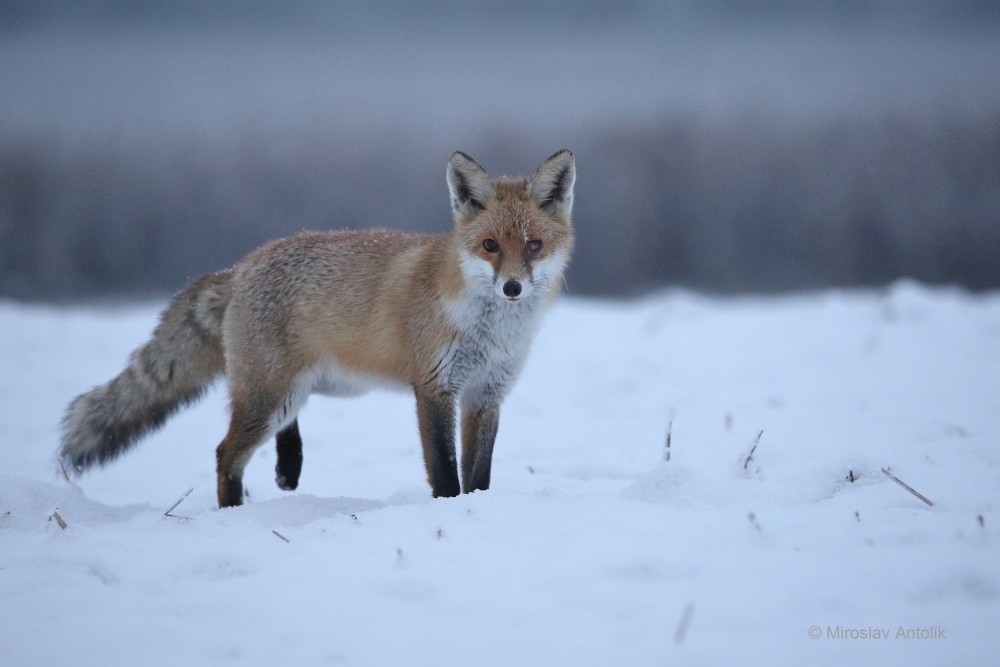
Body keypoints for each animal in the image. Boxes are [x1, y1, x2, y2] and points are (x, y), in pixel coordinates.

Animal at [60, 150, 580, 506]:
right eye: (490, 245)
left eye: (533, 245)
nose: (512, 287)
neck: (491, 333)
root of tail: (240, 266)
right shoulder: (435, 388)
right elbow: (446, 473)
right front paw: (450, 510)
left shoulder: (486, 394)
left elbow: (480, 476)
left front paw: (476, 508)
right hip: (271, 395)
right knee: (225, 454)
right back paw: (234, 511)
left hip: (308, 388)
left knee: (273, 433)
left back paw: (288, 468)